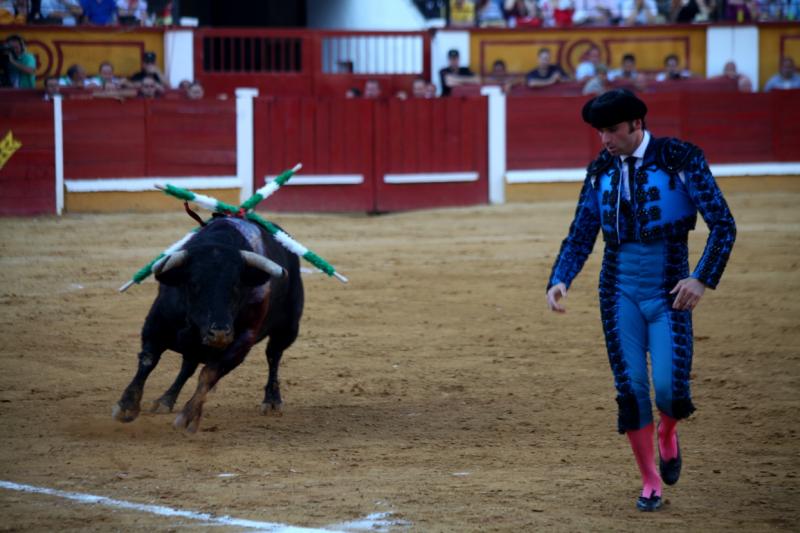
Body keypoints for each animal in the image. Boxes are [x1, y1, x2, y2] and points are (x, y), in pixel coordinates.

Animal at [115, 217, 306, 432]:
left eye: (236, 285)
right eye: (193, 284)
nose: (220, 333)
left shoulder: (241, 343)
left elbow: (208, 374)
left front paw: (188, 416)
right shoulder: (155, 326)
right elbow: (148, 361)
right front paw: (127, 406)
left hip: (287, 329)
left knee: (273, 356)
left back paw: (272, 401)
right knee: (187, 366)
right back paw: (166, 400)